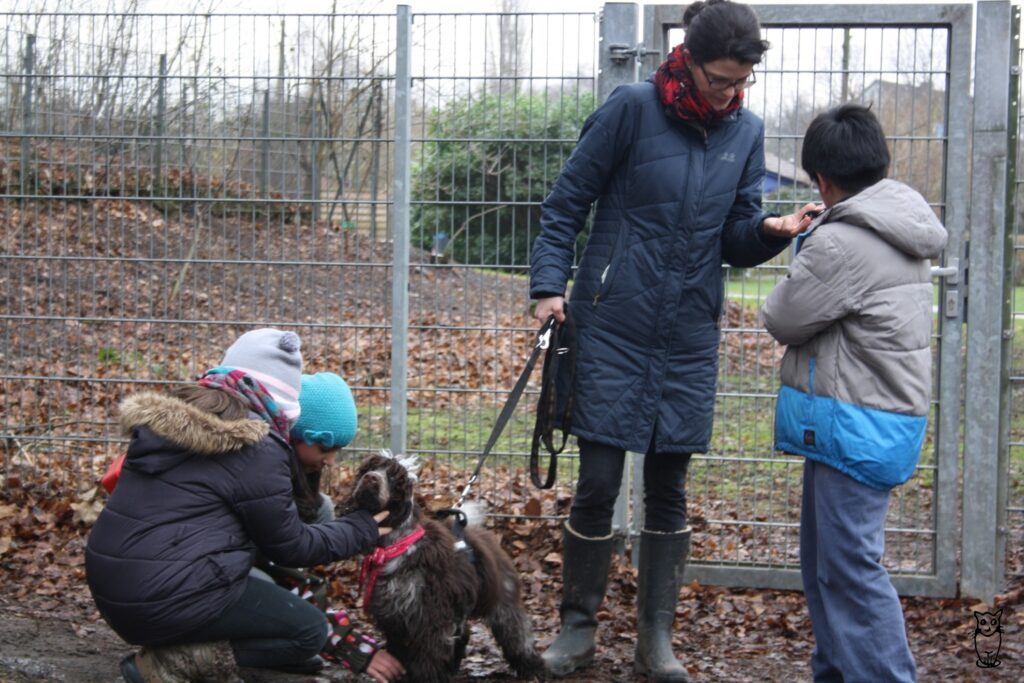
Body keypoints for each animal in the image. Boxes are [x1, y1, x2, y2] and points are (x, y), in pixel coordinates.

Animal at [339, 450, 544, 679]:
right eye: (367, 469)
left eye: (393, 478)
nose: (371, 478)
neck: (395, 544)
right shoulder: (393, 616)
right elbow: (399, 651)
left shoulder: (430, 616)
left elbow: (428, 658)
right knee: (464, 633)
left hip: (503, 603)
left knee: (518, 637)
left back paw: (533, 669)